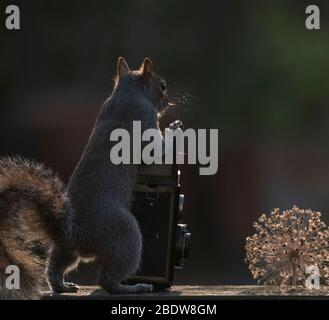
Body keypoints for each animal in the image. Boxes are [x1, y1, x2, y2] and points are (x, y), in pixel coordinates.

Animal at [0, 57, 172, 298]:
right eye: (162, 86)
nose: (168, 102)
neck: (126, 93)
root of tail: (72, 233)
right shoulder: (144, 116)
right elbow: (154, 149)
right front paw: (176, 132)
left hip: (67, 251)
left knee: (56, 267)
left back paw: (63, 286)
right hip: (125, 234)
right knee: (107, 279)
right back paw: (134, 287)